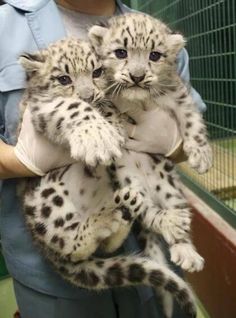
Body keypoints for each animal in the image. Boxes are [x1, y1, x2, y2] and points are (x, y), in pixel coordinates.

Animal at [19, 37, 197, 316]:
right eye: (63, 79)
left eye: (97, 72)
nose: (88, 95)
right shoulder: (40, 106)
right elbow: (71, 106)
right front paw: (98, 137)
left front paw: (113, 126)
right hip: (46, 200)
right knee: (70, 244)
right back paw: (105, 219)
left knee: (106, 244)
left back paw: (126, 212)